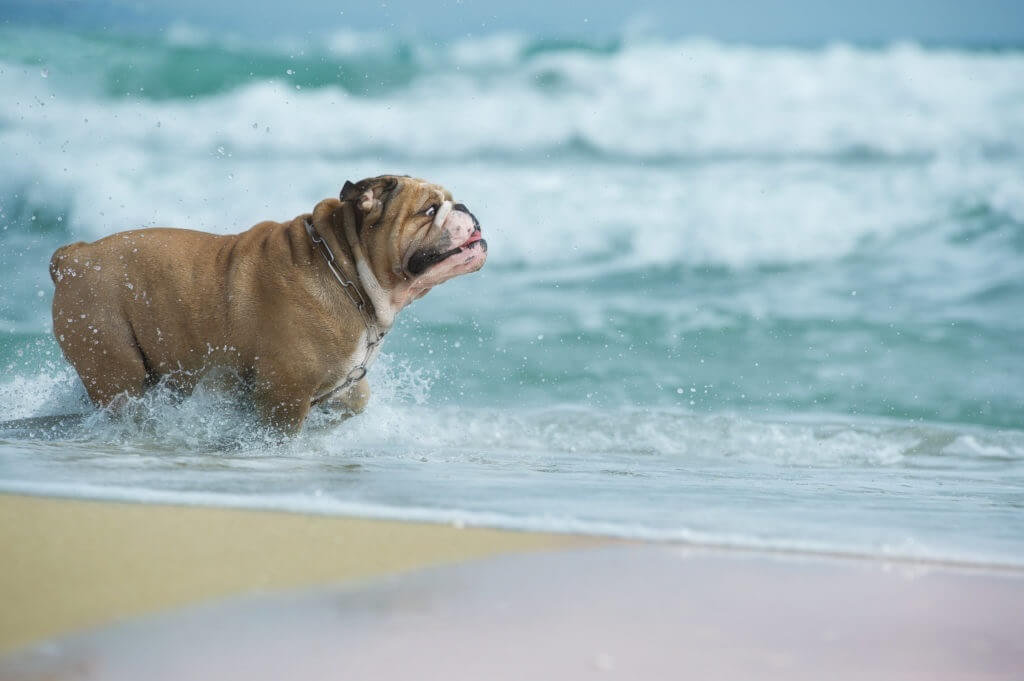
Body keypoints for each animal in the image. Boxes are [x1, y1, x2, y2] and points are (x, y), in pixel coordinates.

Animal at [49, 175, 489, 430]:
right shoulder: (285, 393)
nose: (466, 208)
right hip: (113, 365)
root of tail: (73, 257)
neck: (346, 268)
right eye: (429, 210)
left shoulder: (342, 384)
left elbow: (355, 400)